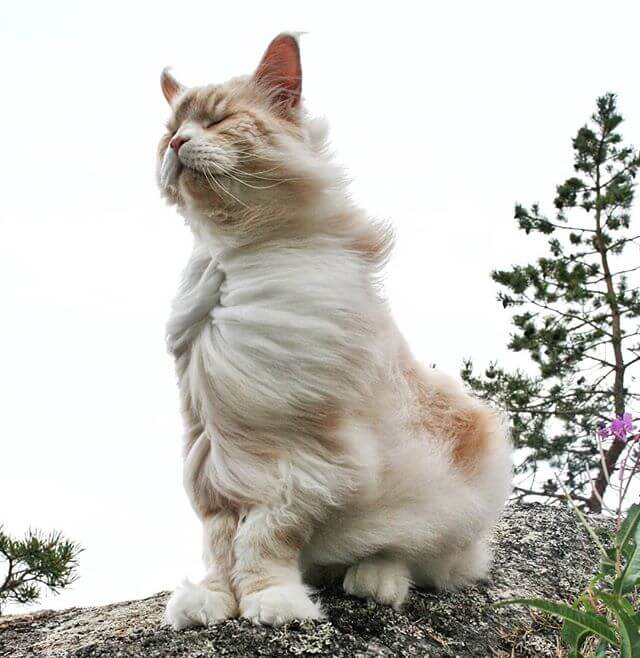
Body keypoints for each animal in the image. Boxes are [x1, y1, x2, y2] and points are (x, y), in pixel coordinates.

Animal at [158, 33, 512, 628]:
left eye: (219, 120)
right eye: (169, 130)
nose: (179, 143)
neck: (237, 256)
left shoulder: (306, 460)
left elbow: (263, 539)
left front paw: (271, 602)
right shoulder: (212, 453)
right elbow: (221, 543)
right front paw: (210, 601)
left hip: (459, 474)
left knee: (418, 558)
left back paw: (374, 581)